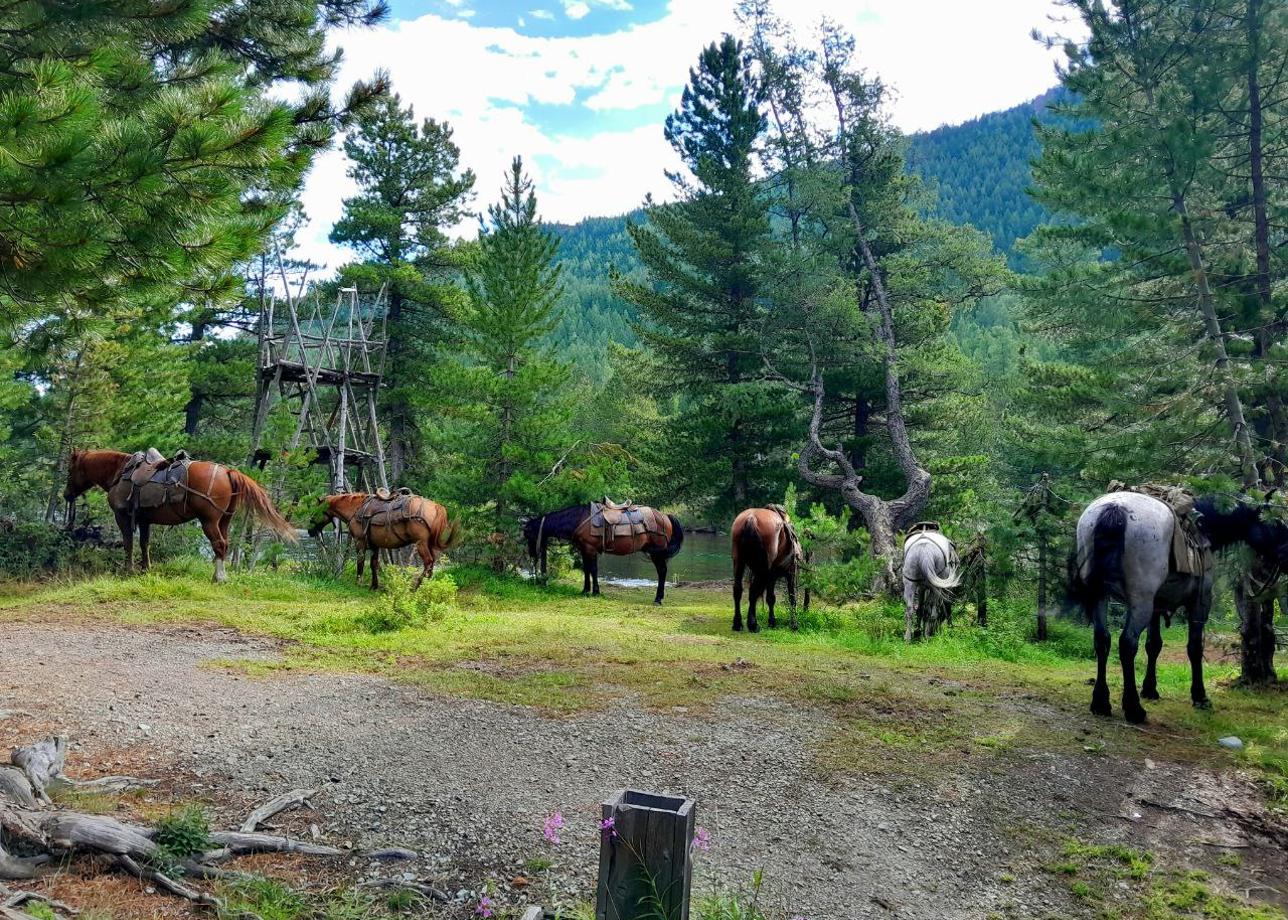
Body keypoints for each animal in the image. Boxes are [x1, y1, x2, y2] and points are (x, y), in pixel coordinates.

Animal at [64, 445, 294, 579]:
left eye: (70, 470)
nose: (66, 495)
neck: (120, 472)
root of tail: (228, 471)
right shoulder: (145, 519)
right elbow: (144, 543)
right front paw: (145, 569)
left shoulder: (122, 516)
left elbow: (128, 542)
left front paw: (127, 571)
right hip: (224, 521)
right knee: (225, 544)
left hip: (209, 521)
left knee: (219, 544)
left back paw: (218, 578)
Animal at [307, 487, 458, 587]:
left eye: (315, 511)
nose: (310, 531)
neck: (355, 509)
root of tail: (436, 507)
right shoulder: (375, 545)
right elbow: (374, 564)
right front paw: (374, 585)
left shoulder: (360, 542)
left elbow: (360, 562)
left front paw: (359, 582)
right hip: (430, 544)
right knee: (431, 564)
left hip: (421, 543)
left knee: (428, 562)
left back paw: (416, 586)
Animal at [522, 502, 685, 603]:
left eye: (529, 534)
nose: (532, 555)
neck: (579, 519)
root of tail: (665, 516)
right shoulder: (584, 550)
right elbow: (587, 570)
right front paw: (585, 590)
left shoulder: (591, 549)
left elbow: (593, 570)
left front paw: (595, 591)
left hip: (657, 553)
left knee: (662, 571)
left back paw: (658, 599)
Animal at [731, 502, 798, 631]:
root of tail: (751, 518)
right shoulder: (789, 572)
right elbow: (790, 597)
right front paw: (791, 624)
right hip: (764, 569)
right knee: (754, 591)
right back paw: (753, 624)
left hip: (739, 561)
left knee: (738, 589)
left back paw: (738, 623)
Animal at [1071, 492, 1288, 721]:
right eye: (1275, 524)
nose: (1287, 557)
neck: (1203, 527)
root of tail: (1115, 507)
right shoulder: (1200, 603)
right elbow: (1195, 647)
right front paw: (1200, 696)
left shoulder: (1157, 605)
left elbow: (1153, 645)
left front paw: (1150, 689)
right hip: (1140, 601)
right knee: (1127, 643)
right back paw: (1133, 708)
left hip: (1102, 596)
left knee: (1102, 640)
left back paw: (1101, 702)